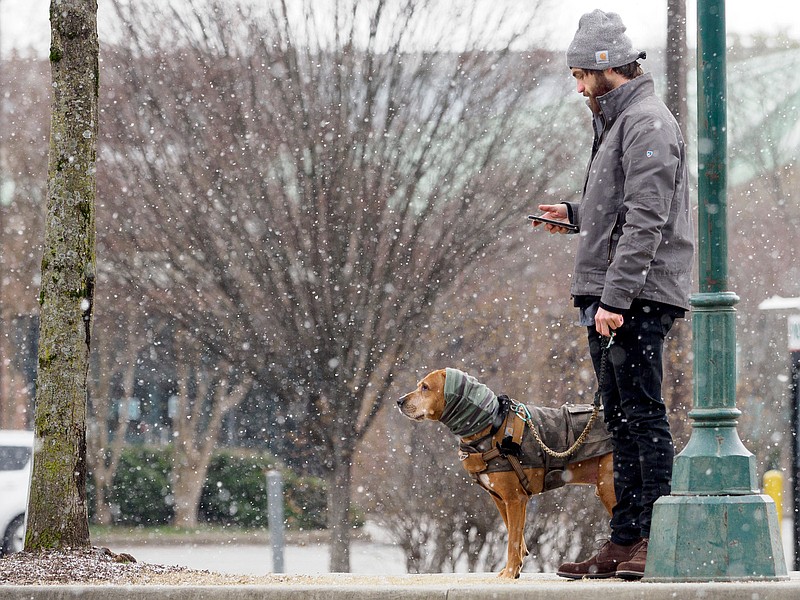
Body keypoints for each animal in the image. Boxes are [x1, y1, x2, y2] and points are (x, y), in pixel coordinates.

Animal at [396, 368, 616, 580]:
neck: (490, 425)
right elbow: (514, 534)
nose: (399, 401)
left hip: (608, 488)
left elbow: (512, 542)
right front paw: (515, 568)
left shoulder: (515, 499)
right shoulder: (501, 499)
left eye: (425, 387)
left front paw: (509, 573)